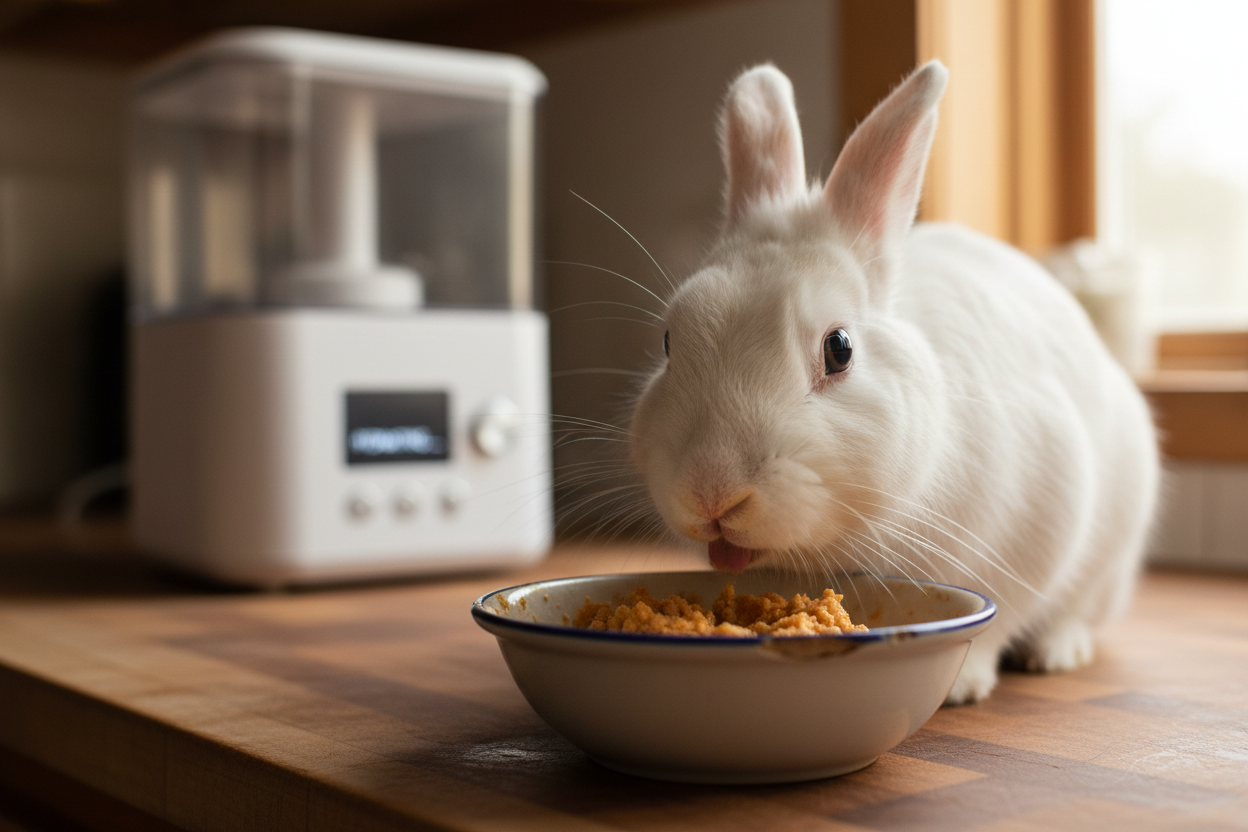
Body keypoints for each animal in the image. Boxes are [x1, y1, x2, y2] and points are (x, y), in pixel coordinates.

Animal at [627, 60, 1160, 704]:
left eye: (839, 349)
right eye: (668, 343)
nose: (712, 493)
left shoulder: (1040, 525)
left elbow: (1002, 614)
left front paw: (962, 685)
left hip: (1110, 556)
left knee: (1074, 611)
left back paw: (1057, 652)